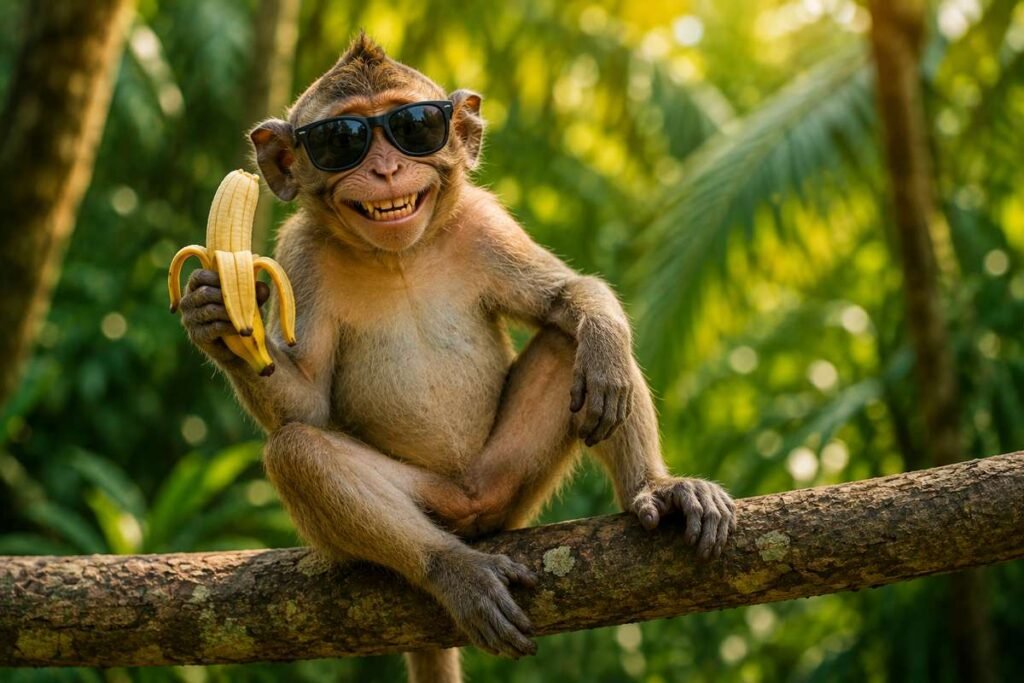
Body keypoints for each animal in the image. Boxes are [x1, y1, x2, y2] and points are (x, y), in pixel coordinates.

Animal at [176, 34, 735, 683]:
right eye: (342, 140)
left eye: (414, 126)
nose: (386, 168)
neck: (398, 254)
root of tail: (471, 502)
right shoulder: (299, 254)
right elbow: (304, 406)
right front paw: (214, 317)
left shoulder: (485, 222)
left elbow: (564, 300)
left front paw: (599, 333)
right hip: (438, 500)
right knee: (300, 452)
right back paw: (452, 567)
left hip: (509, 481)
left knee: (573, 349)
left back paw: (655, 485)